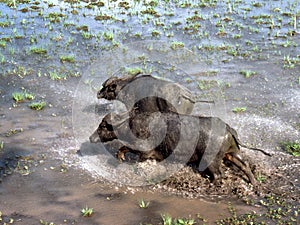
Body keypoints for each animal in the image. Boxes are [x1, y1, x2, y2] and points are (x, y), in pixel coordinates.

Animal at [90, 111, 262, 185]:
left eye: (102, 126)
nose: (91, 138)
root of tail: (228, 129)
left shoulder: (145, 150)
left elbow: (127, 149)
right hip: (231, 153)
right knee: (244, 165)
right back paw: (254, 183)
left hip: (211, 159)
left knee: (218, 175)